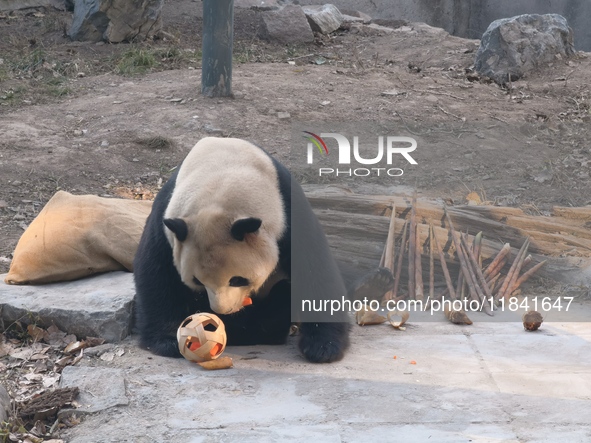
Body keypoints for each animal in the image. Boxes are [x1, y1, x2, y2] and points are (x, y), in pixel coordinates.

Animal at [135, 138, 358, 364]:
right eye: (197, 281)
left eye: (237, 280)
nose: (223, 311)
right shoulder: (167, 221)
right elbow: (157, 273)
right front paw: (167, 341)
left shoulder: (288, 210)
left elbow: (313, 267)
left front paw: (322, 347)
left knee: (283, 296)